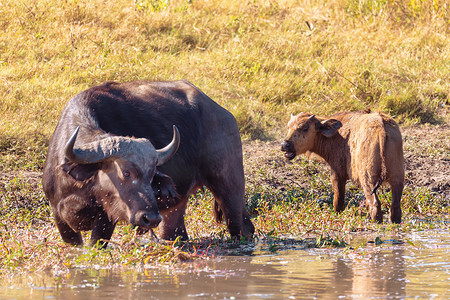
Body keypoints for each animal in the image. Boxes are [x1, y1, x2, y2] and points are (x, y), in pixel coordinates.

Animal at [43, 79, 255, 246]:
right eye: (126, 172)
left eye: (152, 174)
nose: (150, 217)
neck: (80, 188)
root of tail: (224, 114)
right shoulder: (59, 217)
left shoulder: (106, 218)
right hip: (176, 209)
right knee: (175, 234)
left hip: (230, 186)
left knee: (242, 226)